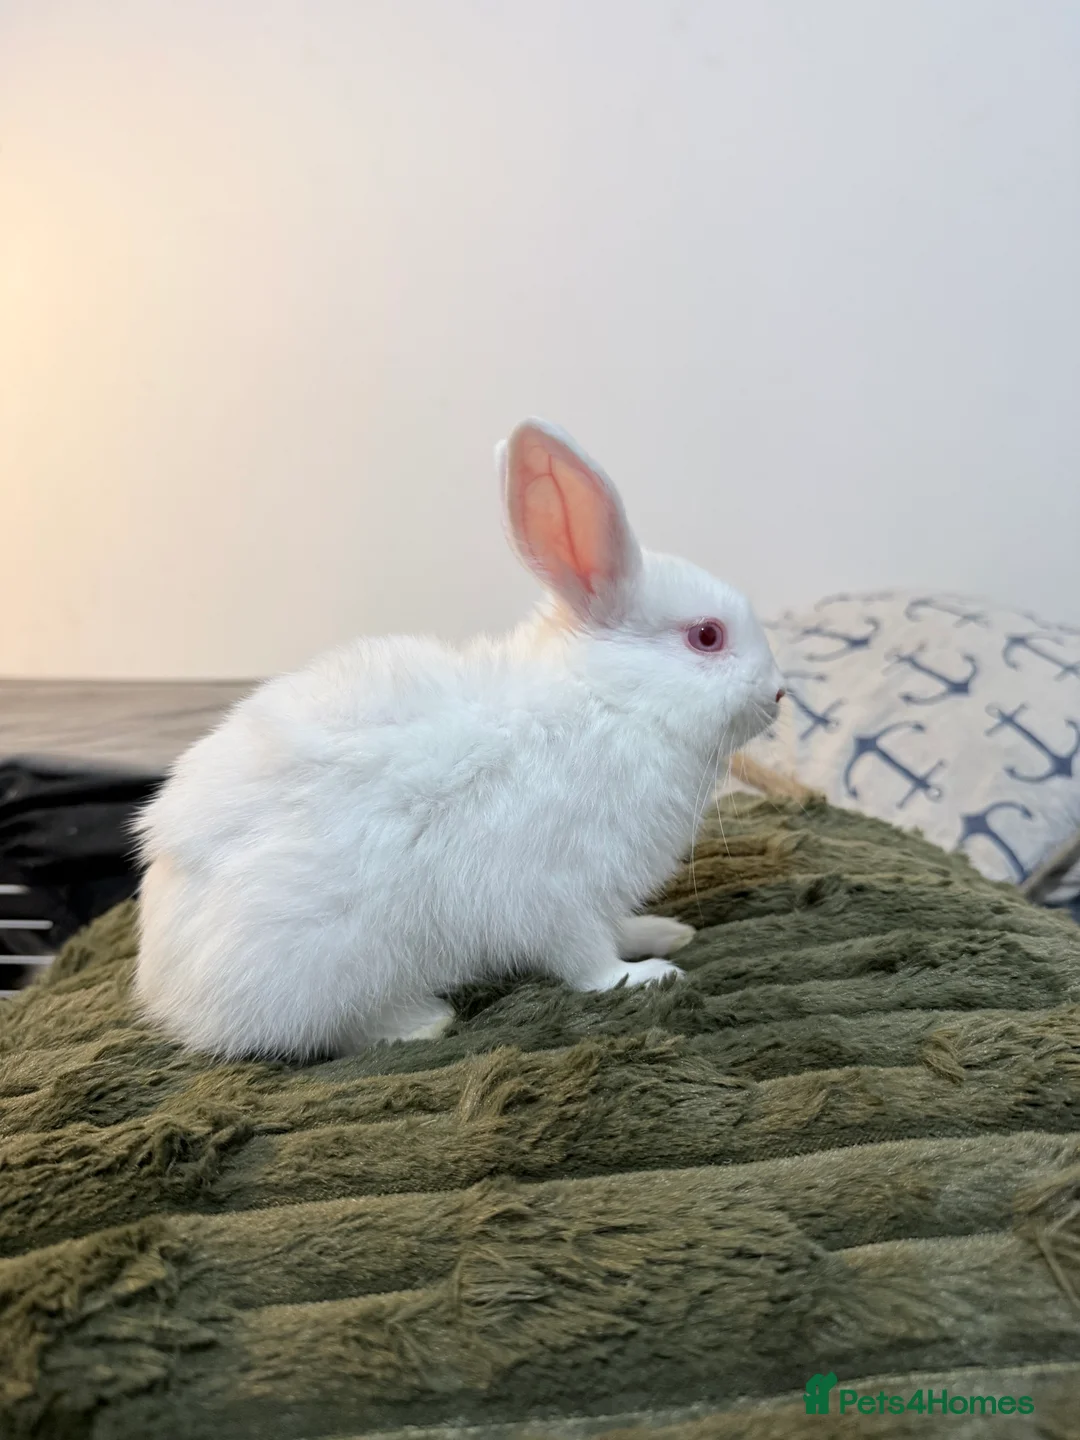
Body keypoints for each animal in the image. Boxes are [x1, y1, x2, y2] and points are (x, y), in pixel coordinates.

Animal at [134, 419, 785, 1059]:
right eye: (707, 636)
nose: (779, 693)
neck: (610, 700)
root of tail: (170, 995)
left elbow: (613, 927)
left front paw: (663, 934)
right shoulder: (554, 889)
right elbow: (584, 959)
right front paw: (646, 976)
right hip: (329, 958)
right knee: (324, 1033)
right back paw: (421, 1022)